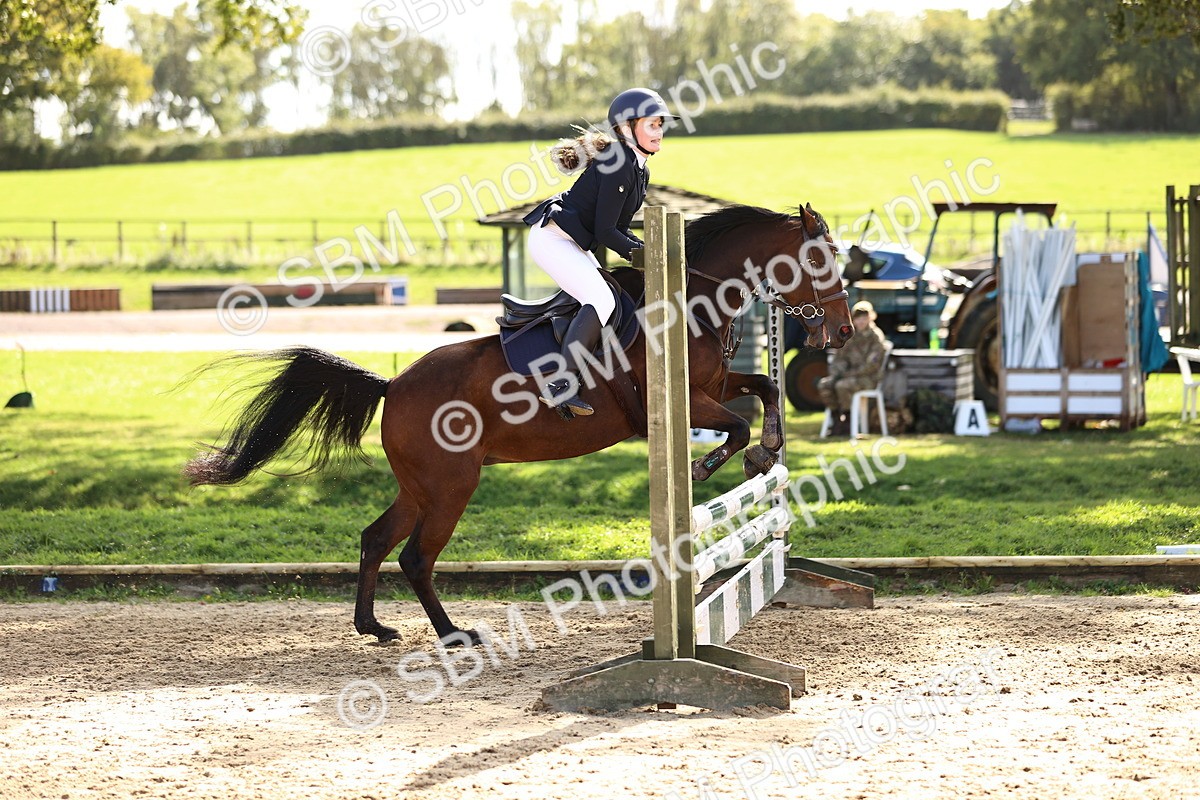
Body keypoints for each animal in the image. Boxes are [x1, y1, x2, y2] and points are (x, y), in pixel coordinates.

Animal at [183, 203, 853, 644]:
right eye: (820, 257)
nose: (844, 331)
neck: (691, 299)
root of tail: (392, 387)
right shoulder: (679, 401)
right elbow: (734, 426)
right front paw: (710, 464)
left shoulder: (712, 389)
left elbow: (765, 388)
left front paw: (765, 451)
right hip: (451, 486)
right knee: (416, 557)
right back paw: (453, 634)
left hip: (422, 486)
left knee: (377, 539)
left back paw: (374, 626)